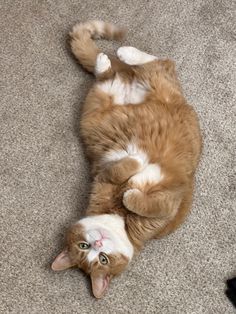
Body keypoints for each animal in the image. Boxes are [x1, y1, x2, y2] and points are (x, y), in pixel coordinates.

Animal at [50, 20, 202, 300]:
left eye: (102, 258)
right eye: (87, 249)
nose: (98, 242)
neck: (118, 217)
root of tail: (124, 81)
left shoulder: (167, 204)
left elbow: (141, 201)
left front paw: (131, 189)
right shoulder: (102, 174)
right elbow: (124, 173)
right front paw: (134, 170)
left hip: (156, 86)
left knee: (160, 62)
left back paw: (123, 53)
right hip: (99, 100)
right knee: (118, 72)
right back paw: (109, 60)